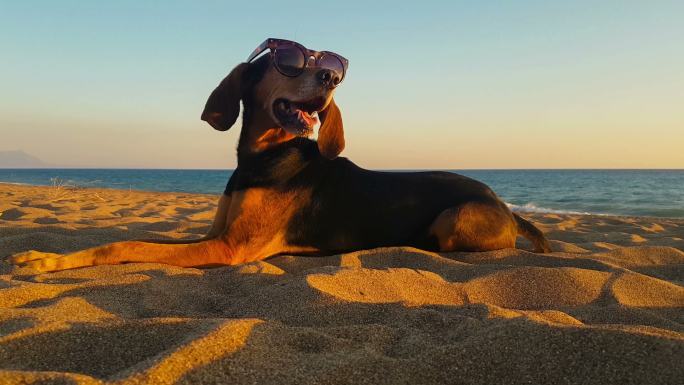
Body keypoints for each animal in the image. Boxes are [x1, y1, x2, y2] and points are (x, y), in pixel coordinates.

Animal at [8, 37, 552, 272]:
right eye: (289, 62)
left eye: (329, 65)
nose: (331, 77)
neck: (261, 159)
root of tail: (505, 205)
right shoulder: (214, 236)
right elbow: (138, 238)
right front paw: (43, 253)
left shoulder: (228, 248)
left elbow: (127, 246)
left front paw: (46, 261)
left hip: (455, 217)